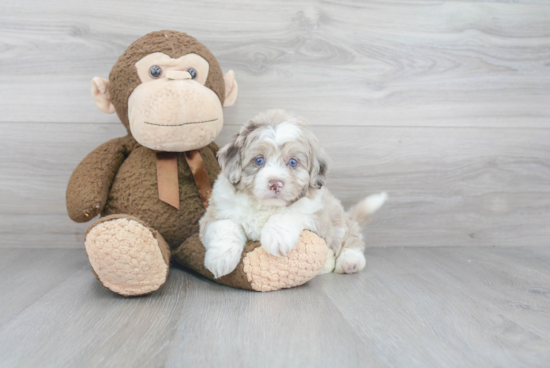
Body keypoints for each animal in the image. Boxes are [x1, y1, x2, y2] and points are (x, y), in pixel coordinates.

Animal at [199, 109, 388, 278]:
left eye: (293, 162)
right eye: (259, 160)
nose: (275, 183)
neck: (266, 206)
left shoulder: (315, 214)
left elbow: (290, 213)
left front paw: (277, 238)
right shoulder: (214, 214)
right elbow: (225, 226)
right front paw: (220, 259)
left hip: (337, 220)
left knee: (350, 237)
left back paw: (350, 261)